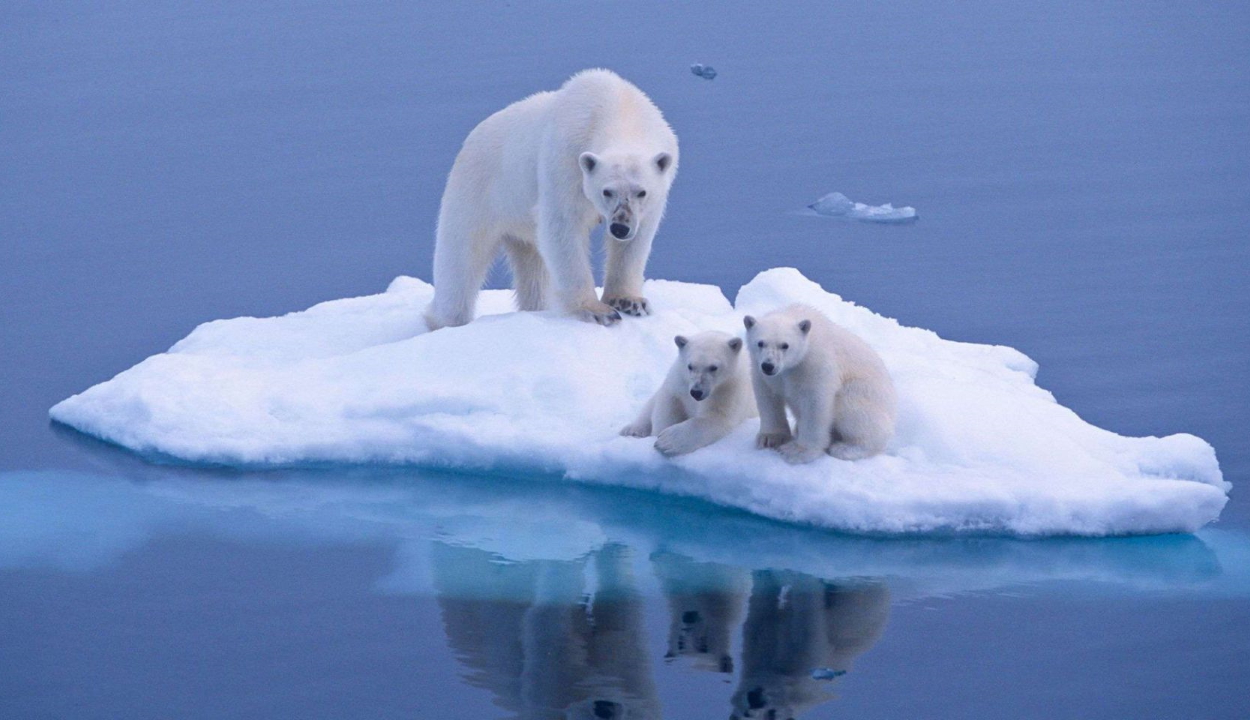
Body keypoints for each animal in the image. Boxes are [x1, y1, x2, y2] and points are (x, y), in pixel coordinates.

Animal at [422, 68, 680, 327]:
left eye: (641, 192)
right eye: (606, 191)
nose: (619, 227)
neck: (620, 109)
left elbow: (636, 241)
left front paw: (630, 302)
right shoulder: (566, 159)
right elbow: (563, 226)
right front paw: (598, 311)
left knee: (533, 269)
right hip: (477, 193)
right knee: (460, 262)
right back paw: (444, 319)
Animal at [620, 332, 755, 455]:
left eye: (713, 367)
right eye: (690, 366)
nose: (696, 392)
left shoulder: (729, 389)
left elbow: (716, 417)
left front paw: (666, 441)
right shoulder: (679, 381)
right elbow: (668, 406)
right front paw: (658, 433)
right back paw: (632, 430)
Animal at [740, 302, 900, 460]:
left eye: (785, 345)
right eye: (760, 343)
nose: (768, 365)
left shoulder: (815, 363)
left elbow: (814, 402)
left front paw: (798, 451)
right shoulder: (761, 369)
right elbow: (767, 396)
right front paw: (770, 438)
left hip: (865, 396)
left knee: (853, 409)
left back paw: (846, 448)